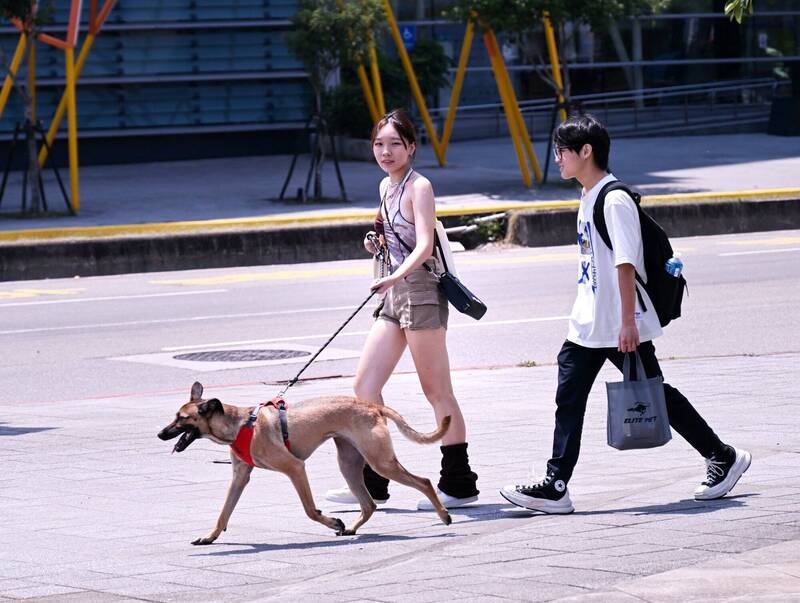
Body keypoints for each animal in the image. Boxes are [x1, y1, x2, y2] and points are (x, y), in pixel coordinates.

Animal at [159, 384, 454, 544]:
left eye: (182, 419)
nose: (160, 433)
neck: (241, 424)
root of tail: (372, 406)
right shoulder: (239, 477)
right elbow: (223, 513)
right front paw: (210, 537)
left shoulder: (295, 468)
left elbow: (310, 510)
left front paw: (332, 522)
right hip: (349, 464)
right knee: (369, 504)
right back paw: (352, 528)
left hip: (380, 462)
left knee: (424, 481)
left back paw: (443, 515)